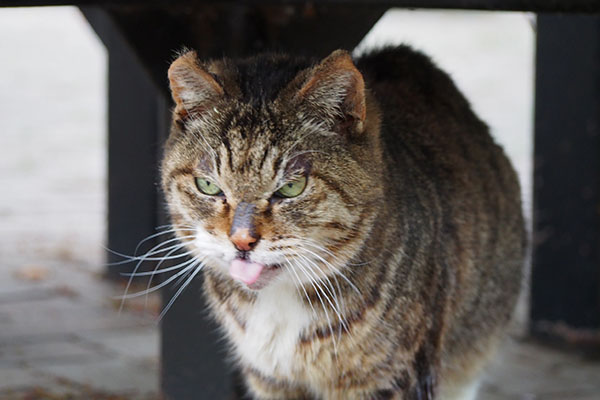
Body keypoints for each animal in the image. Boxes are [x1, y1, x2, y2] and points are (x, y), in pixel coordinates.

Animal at [159, 46, 524, 400]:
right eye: (208, 185)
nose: (242, 241)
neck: (280, 306)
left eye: (292, 187)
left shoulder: (392, 379)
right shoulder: (270, 379)